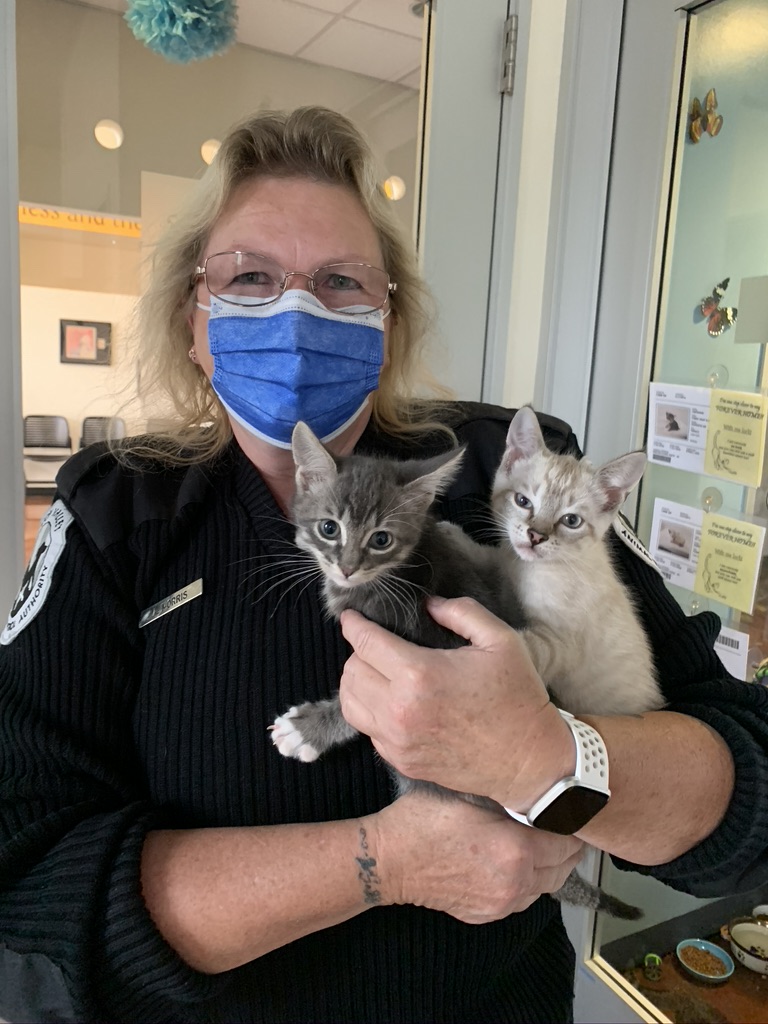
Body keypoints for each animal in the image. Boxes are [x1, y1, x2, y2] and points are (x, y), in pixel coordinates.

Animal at [272, 417, 643, 921]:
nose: (346, 569)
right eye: (329, 528)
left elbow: (360, 704)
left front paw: (308, 729)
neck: (396, 571)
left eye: (381, 539)